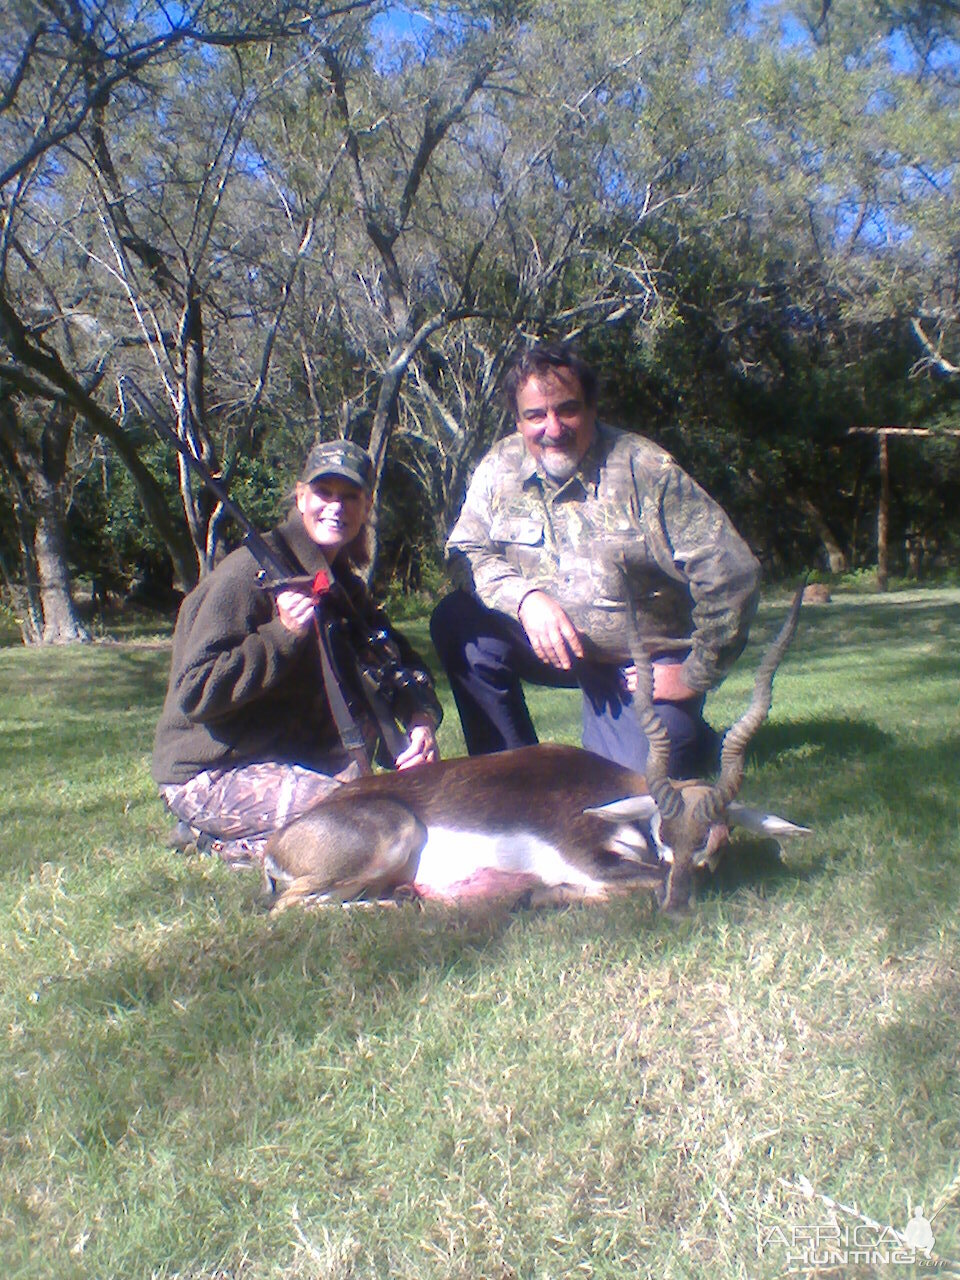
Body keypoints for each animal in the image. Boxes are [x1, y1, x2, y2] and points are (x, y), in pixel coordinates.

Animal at [263, 586, 814, 916]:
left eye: (715, 843)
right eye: (663, 833)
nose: (677, 907)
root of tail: (280, 841)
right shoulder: (586, 856)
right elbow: (639, 876)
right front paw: (549, 893)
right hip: (393, 834)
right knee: (284, 908)